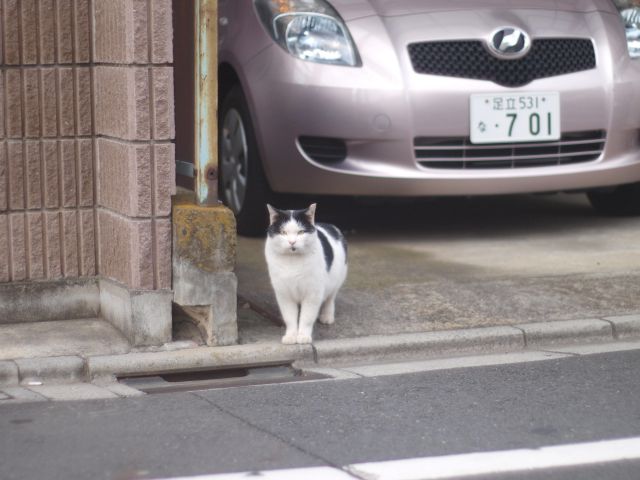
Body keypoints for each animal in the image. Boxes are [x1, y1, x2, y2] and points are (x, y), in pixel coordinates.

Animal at [264, 204, 348, 344]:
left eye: (300, 232)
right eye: (283, 232)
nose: (292, 242)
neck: (292, 261)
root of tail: (330, 225)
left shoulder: (312, 294)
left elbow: (307, 317)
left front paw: (303, 336)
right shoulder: (284, 294)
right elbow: (290, 317)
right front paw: (291, 336)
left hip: (337, 279)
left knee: (330, 298)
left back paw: (327, 316)